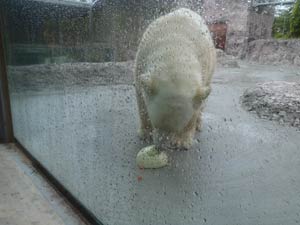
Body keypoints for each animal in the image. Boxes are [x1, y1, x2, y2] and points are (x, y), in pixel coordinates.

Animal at [134, 7, 216, 150]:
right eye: (155, 123)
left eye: (176, 129)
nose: (160, 146)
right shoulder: (141, 61)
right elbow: (141, 99)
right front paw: (145, 133)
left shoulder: (203, 72)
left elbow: (195, 107)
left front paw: (182, 141)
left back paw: (199, 124)